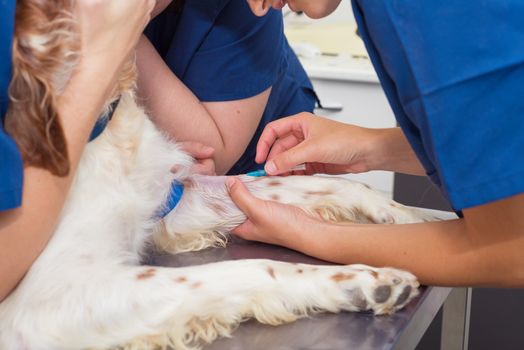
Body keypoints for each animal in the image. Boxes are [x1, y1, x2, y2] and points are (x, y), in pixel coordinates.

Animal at [0, 1, 430, 348]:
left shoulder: (175, 195)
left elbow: (318, 182)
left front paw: (408, 218)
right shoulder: (53, 297)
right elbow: (251, 268)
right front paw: (362, 282)